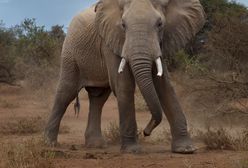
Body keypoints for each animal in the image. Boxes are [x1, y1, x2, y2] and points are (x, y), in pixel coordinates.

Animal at [44, 0, 205, 154]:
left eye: (160, 24)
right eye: (123, 25)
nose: (146, 132)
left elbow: (164, 86)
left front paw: (186, 149)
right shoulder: (110, 41)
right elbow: (124, 85)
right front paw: (132, 150)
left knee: (98, 98)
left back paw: (96, 145)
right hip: (70, 53)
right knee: (66, 92)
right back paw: (48, 143)